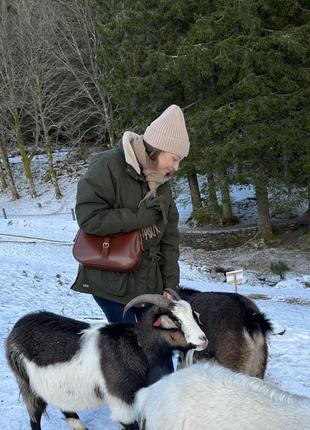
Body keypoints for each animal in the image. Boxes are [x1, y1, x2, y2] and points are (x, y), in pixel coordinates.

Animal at [5, 294, 206, 430]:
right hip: (28, 385)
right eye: (175, 321)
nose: (203, 339)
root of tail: (17, 327)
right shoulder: (123, 402)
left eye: (193, 315)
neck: (137, 346)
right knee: (34, 418)